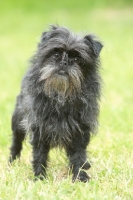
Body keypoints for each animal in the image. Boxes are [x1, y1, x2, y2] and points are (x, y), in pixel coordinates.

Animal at [9, 24, 103, 182]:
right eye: (56, 54)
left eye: (77, 59)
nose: (65, 62)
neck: (61, 94)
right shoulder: (39, 128)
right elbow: (39, 155)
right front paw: (39, 177)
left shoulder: (80, 131)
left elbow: (79, 155)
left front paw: (80, 177)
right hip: (18, 120)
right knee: (16, 142)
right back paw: (12, 162)